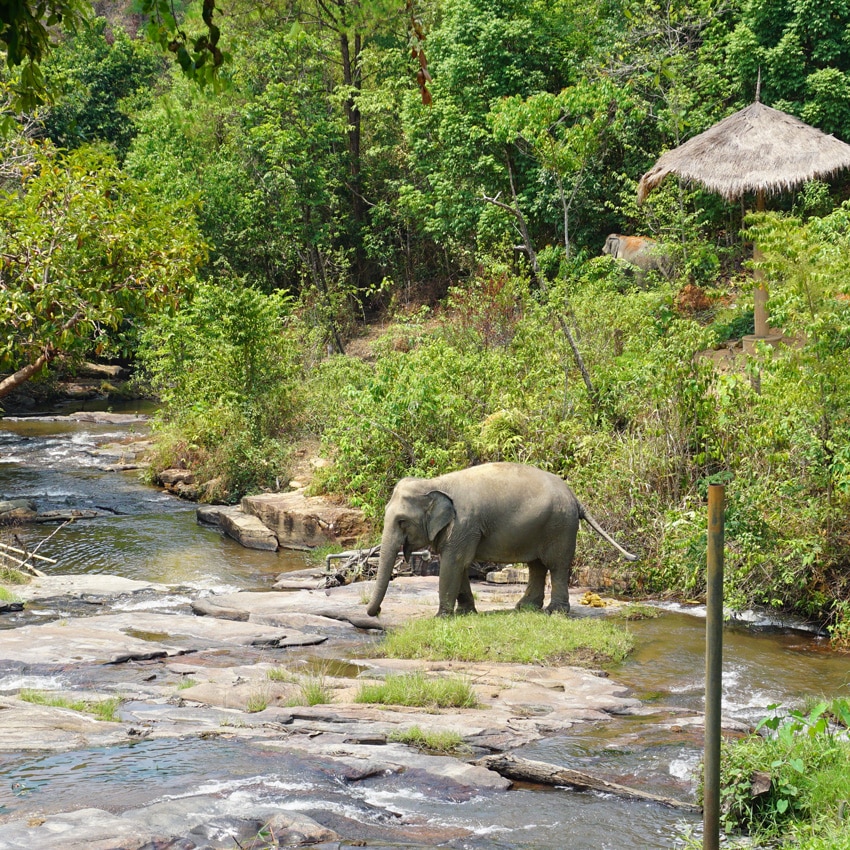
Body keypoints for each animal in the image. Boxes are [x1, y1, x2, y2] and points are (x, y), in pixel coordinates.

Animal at [365, 462, 637, 618]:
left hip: (560, 526)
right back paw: (525, 608)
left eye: (402, 522)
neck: (436, 483)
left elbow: (454, 563)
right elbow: (459, 565)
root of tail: (576, 498)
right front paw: (465, 614)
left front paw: (441, 618)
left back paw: (554, 612)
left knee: (556, 565)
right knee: (537, 566)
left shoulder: (465, 524)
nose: (376, 612)